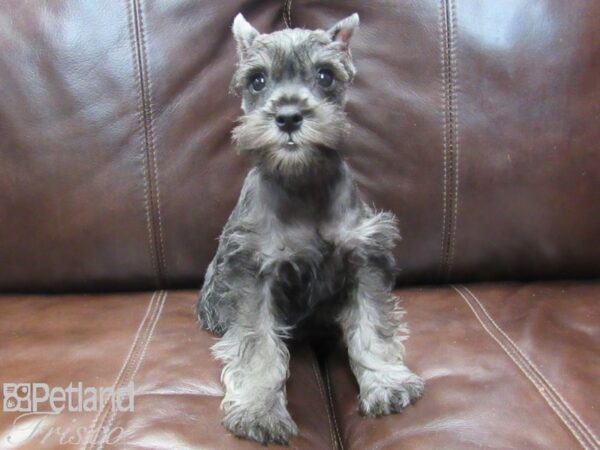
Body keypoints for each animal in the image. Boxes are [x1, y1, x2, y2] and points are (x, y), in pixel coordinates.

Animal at [197, 12, 422, 444]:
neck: (302, 181)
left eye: (325, 75)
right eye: (257, 80)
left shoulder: (365, 257)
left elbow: (372, 326)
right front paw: (259, 410)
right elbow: (257, 345)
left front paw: (386, 382)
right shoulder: (253, 271)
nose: (288, 116)